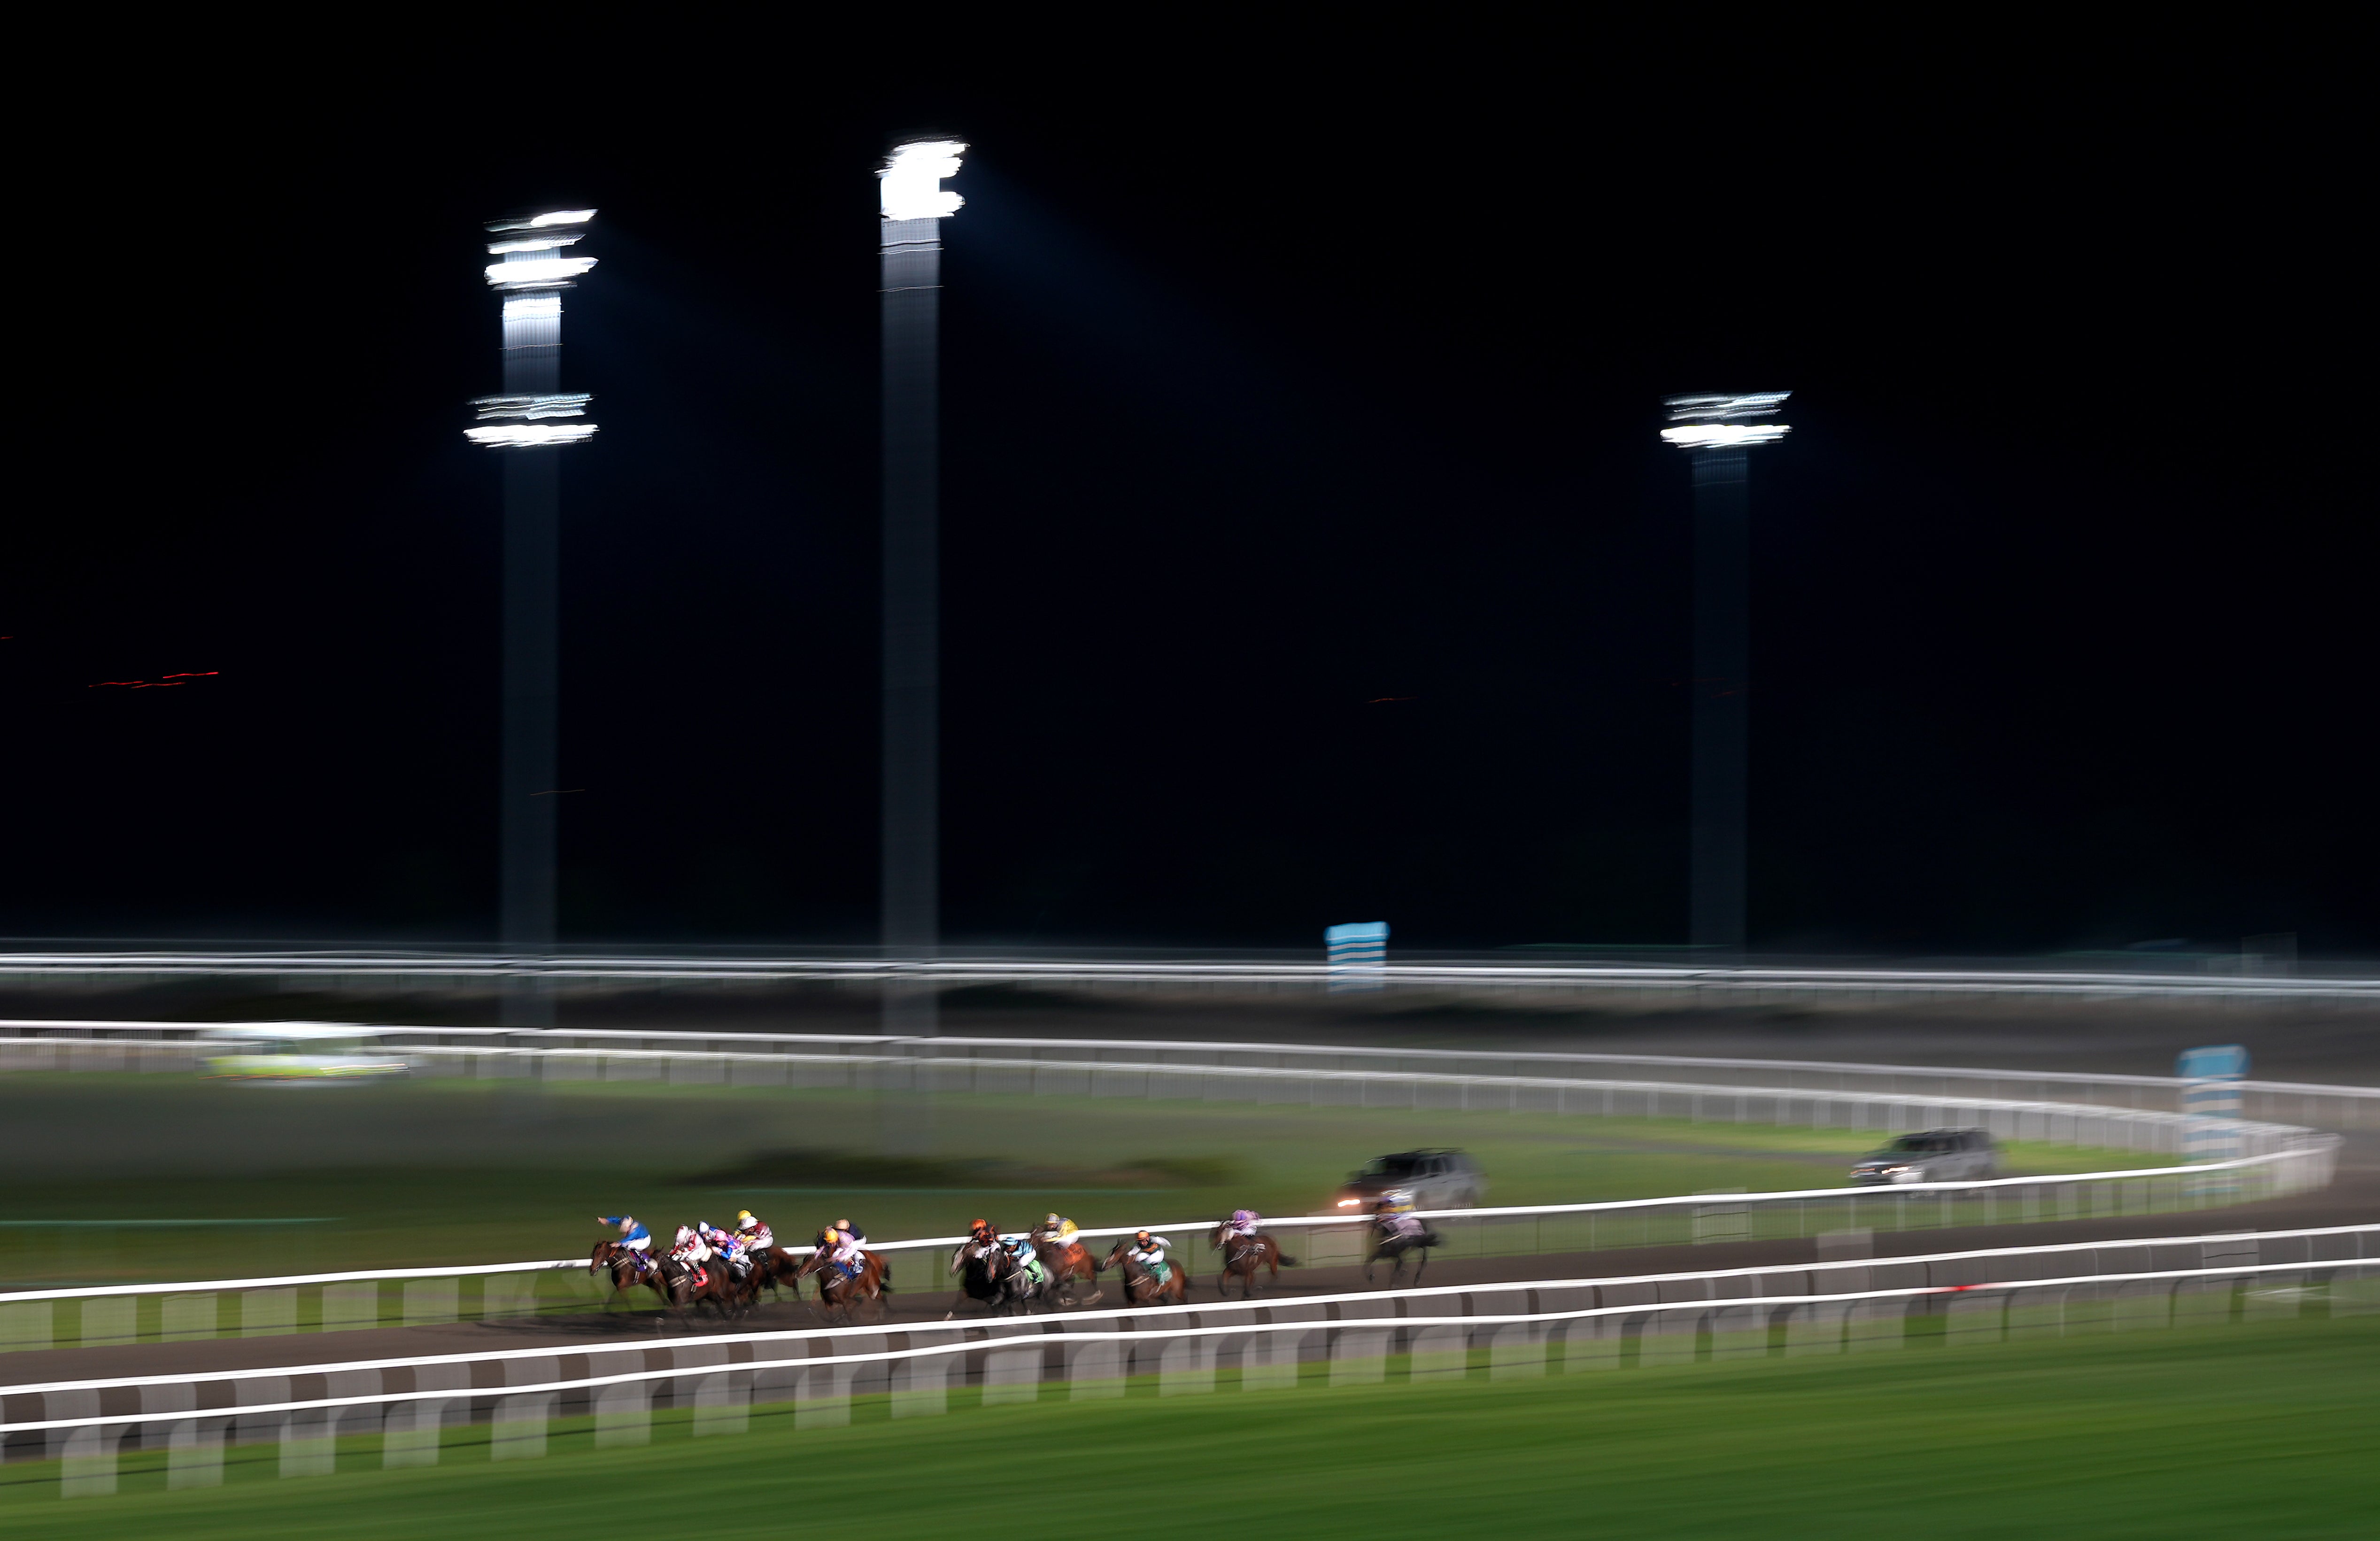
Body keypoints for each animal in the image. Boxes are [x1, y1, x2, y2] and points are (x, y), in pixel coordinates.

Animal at [1095, 1238, 1190, 1305]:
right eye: (1113, 1250)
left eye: (1121, 1250)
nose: (1104, 1266)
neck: (1136, 1275)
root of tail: (1178, 1264)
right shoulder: (1131, 1301)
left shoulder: (1149, 1300)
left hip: (1177, 1291)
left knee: (1185, 1298)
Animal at [1209, 1219, 1304, 1295]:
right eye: (1217, 1231)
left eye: (1223, 1230)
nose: (1215, 1244)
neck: (1236, 1251)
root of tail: (1272, 1240)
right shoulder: (1233, 1270)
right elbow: (1224, 1278)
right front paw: (1227, 1291)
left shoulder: (1248, 1272)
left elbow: (1248, 1291)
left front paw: (1255, 1290)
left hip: (1272, 1261)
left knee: (1275, 1274)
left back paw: (1267, 1287)